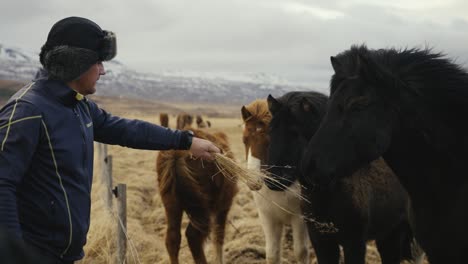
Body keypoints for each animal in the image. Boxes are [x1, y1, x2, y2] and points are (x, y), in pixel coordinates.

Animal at [156, 128, 238, 264]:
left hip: (171, 203)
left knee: (172, 238)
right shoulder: (223, 206)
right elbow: (219, 237)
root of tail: (176, 154)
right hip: (203, 208)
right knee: (193, 237)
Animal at [241, 99, 310, 264]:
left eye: (268, 141)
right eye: (245, 140)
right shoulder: (268, 217)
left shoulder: (299, 217)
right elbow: (272, 254)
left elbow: (301, 252)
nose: (253, 181)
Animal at [266, 91, 424, 264]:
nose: (272, 179)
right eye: (271, 131)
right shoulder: (322, 241)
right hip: (389, 234)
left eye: (295, 133)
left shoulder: (354, 243)